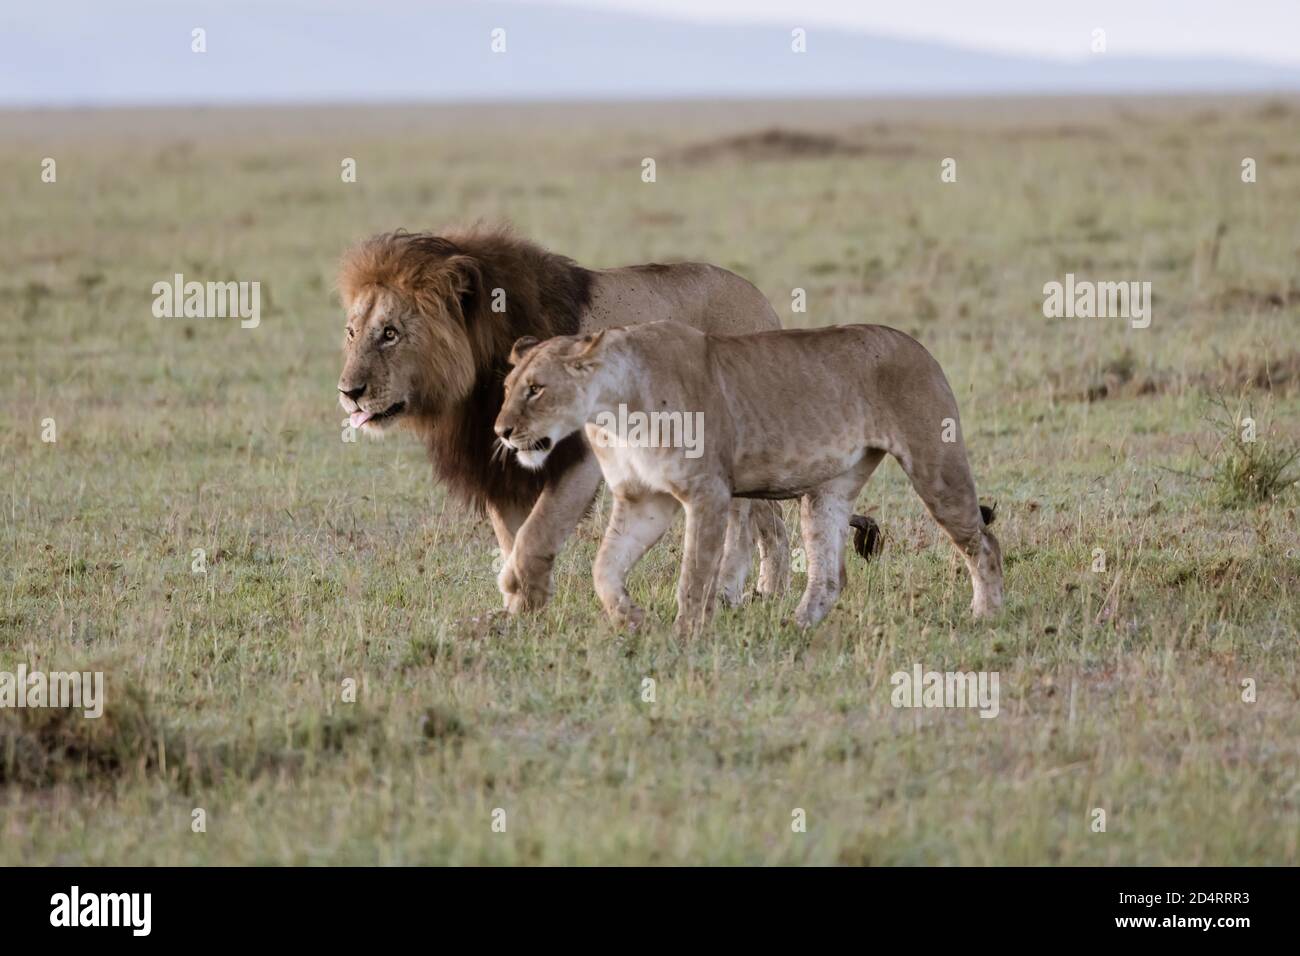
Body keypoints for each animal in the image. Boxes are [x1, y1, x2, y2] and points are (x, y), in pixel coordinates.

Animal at [335, 225, 790, 612]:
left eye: (390, 333)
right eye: (352, 332)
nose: (348, 393)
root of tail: (761, 300)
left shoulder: (580, 456)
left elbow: (537, 534)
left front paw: (522, 602)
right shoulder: (498, 468)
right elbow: (512, 539)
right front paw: (517, 612)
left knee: (739, 519)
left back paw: (727, 590)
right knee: (769, 520)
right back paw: (770, 590)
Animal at [495, 322, 1002, 634]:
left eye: (536, 389)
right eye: (506, 388)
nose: (501, 431)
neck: (612, 410)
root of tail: (916, 344)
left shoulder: (708, 492)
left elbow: (695, 575)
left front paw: (685, 636)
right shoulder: (644, 499)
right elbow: (604, 569)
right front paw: (634, 622)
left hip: (936, 467)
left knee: (984, 542)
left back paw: (986, 615)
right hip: (828, 491)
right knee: (829, 574)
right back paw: (795, 628)